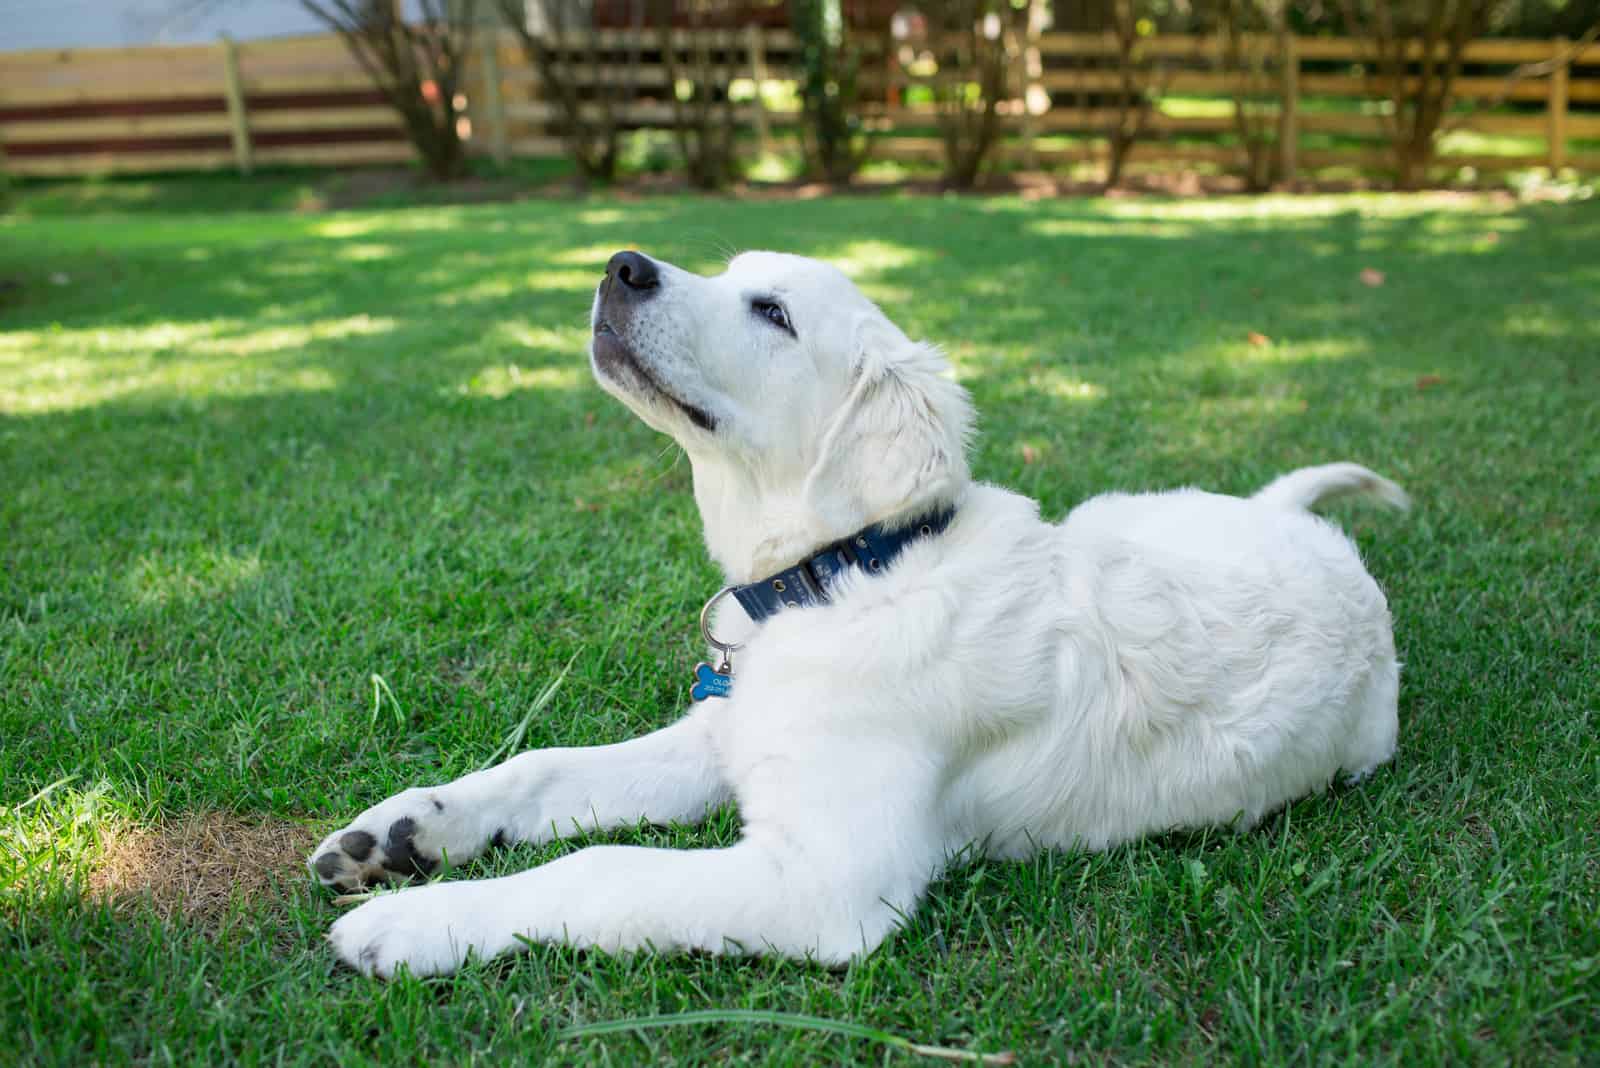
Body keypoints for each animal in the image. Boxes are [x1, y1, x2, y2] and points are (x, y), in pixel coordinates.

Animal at [308, 247, 1401, 978]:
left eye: (772, 312)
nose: (622, 266)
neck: (845, 577)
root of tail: (1310, 535)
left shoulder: (822, 883)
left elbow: (598, 869)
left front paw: (416, 926)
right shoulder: (723, 737)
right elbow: (542, 767)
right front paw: (402, 832)